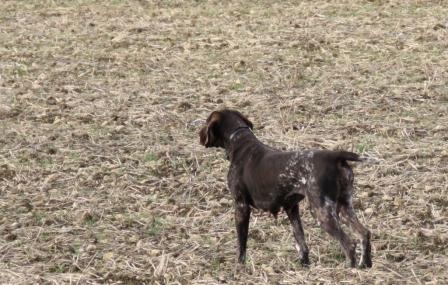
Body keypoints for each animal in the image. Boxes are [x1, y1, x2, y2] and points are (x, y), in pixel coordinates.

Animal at [199, 108, 372, 266]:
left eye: (206, 122)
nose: (199, 134)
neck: (240, 141)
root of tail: (334, 156)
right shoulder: (291, 208)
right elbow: (301, 242)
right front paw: (304, 266)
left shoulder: (241, 206)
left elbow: (242, 244)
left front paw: (239, 267)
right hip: (344, 207)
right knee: (364, 233)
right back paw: (365, 265)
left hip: (322, 212)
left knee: (349, 244)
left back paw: (350, 269)